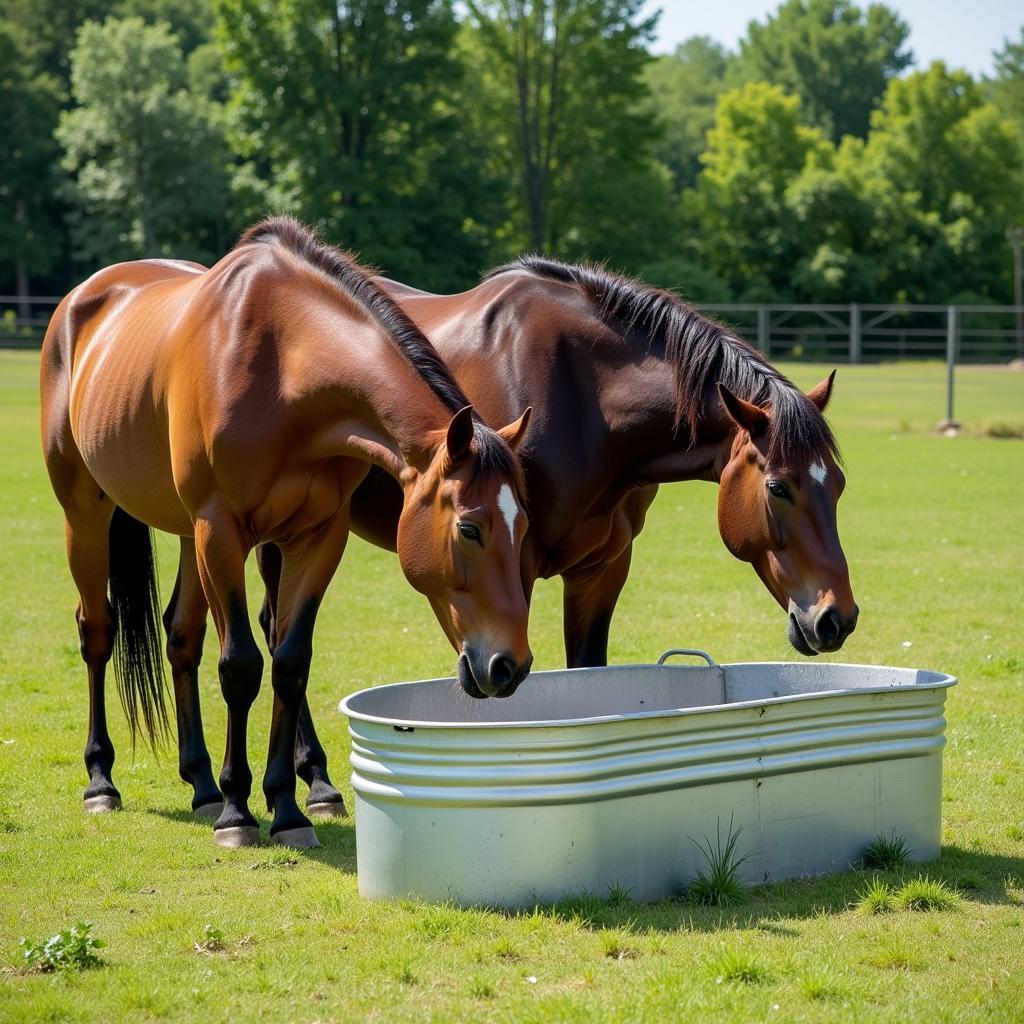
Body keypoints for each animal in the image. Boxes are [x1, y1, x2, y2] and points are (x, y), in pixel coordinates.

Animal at [37, 216, 536, 847]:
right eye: (470, 529)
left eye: (524, 527)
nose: (510, 667)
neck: (285, 366)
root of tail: (83, 298)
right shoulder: (222, 531)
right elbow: (242, 666)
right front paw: (238, 812)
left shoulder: (316, 537)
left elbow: (290, 662)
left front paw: (288, 810)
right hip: (87, 512)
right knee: (97, 632)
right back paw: (103, 782)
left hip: (186, 535)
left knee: (181, 638)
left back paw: (201, 784)